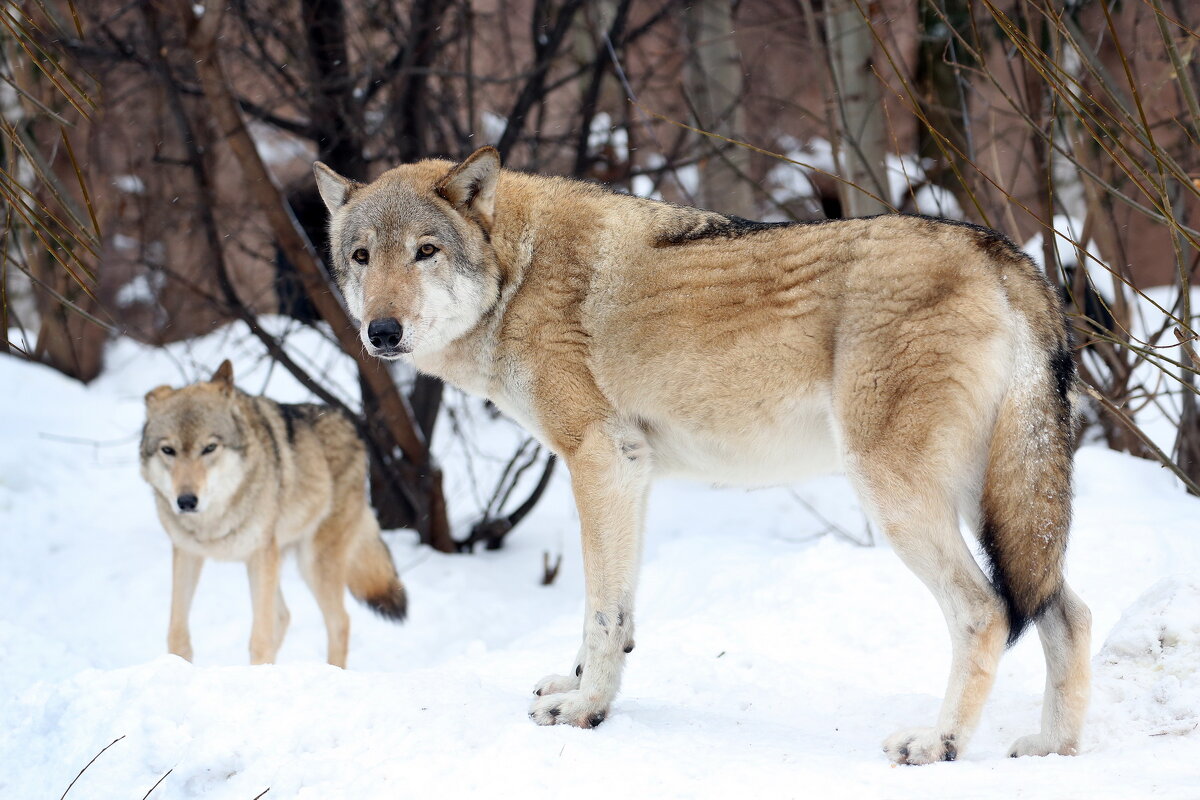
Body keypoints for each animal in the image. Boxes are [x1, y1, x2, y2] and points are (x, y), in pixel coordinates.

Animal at [138, 359, 405, 666]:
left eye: (210, 448)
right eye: (168, 450)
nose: (186, 501)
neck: (213, 522)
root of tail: (353, 428)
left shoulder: (259, 556)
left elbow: (260, 638)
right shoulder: (187, 553)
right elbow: (177, 633)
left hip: (311, 563)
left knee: (339, 621)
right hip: (279, 558)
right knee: (284, 616)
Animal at [314, 145, 1094, 762]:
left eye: (425, 251)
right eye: (361, 257)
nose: (381, 331)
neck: (517, 272)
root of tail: (1004, 254)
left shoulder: (599, 459)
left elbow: (601, 613)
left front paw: (586, 711)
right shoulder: (631, 472)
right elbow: (613, 608)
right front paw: (580, 686)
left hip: (899, 496)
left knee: (988, 611)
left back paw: (940, 744)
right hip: (992, 505)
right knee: (1067, 609)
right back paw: (1053, 749)